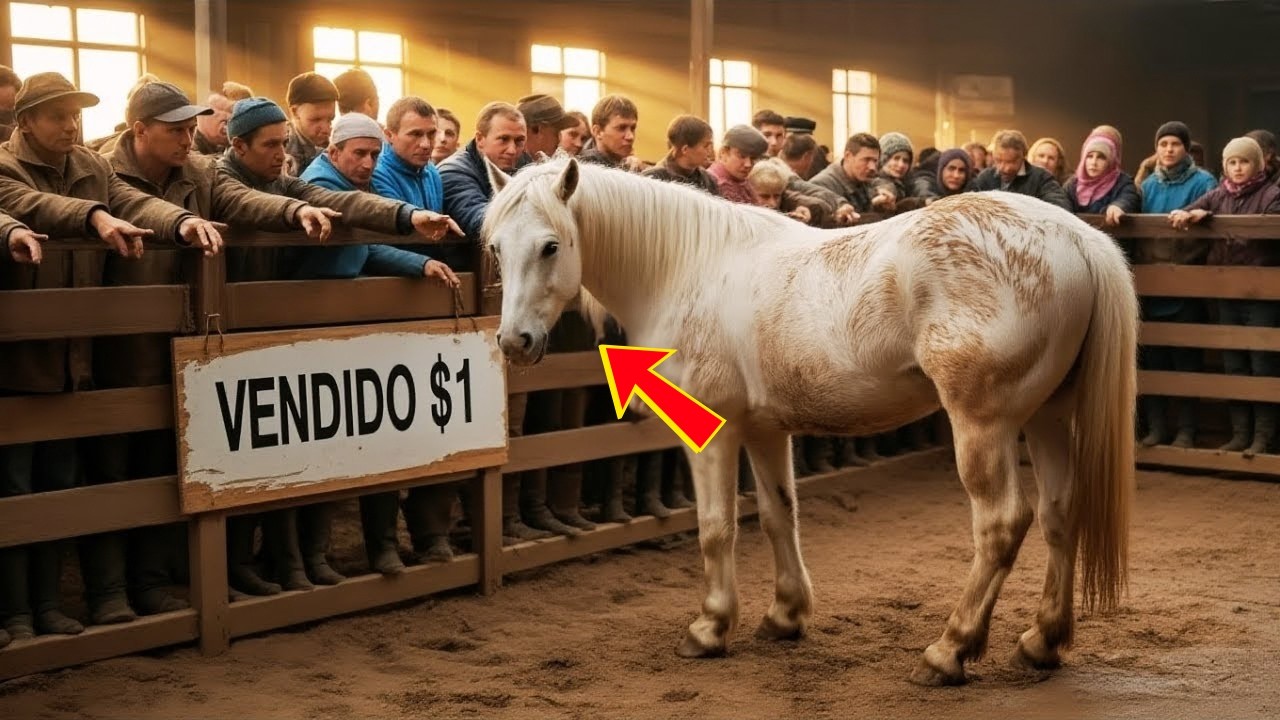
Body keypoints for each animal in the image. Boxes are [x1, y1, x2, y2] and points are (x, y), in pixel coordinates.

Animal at [481, 156, 1136, 686]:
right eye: (495, 248)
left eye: (550, 246)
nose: (515, 342)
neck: (687, 268)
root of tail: (1077, 238)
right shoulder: (766, 430)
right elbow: (779, 517)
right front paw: (784, 616)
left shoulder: (714, 434)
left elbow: (717, 527)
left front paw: (710, 627)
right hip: (1047, 418)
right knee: (1059, 514)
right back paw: (1041, 643)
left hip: (983, 425)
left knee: (1001, 525)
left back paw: (948, 651)